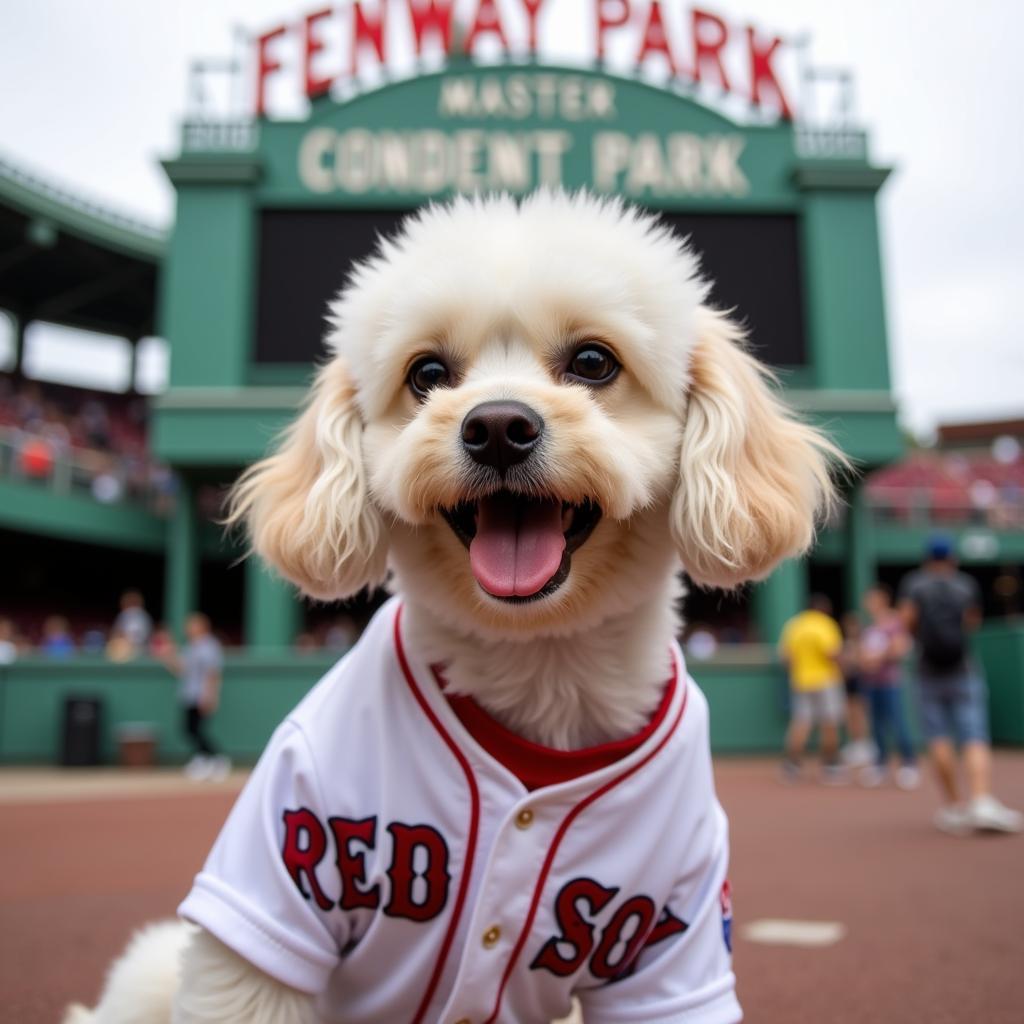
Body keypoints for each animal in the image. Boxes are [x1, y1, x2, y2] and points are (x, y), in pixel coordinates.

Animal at [64, 192, 835, 1024]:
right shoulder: (272, 885)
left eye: (594, 362)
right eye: (428, 373)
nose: (497, 426)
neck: (538, 662)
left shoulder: (675, 943)